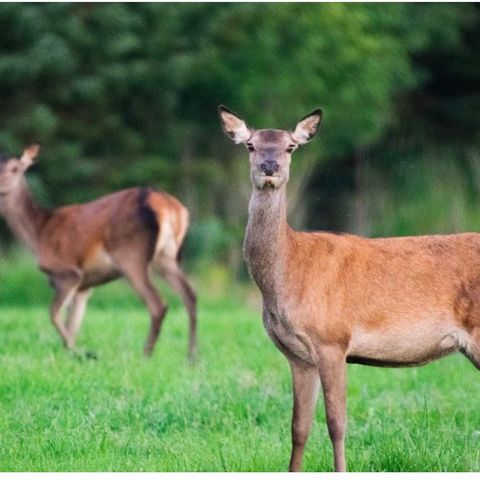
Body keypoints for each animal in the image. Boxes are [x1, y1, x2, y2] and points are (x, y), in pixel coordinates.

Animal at [0, 145, 197, 360]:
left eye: (15, 169)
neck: (38, 233)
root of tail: (166, 204)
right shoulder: (84, 286)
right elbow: (72, 324)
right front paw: (72, 354)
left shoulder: (67, 273)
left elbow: (54, 315)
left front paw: (81, 352)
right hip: (166, 257)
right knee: (190, 295)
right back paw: (192, 357)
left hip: (130, 255)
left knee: (158, 304)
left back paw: (146, 354)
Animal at [219, 106, 480, 472]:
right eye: (251, 145)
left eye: (290, 147)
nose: (270, 167)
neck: (288, 272)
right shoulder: (298, 356)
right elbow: (298, 427)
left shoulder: (332, 339)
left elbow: (336, 422)